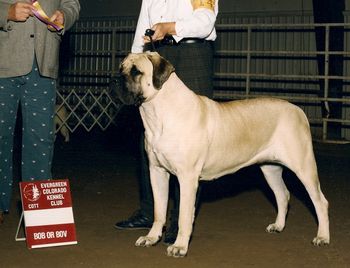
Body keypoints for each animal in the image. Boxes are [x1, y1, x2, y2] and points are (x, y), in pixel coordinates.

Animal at [110, 51, 330, 258]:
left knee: (320, 201)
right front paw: (151, 237)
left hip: (303, 167)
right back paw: (278, 226)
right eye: (121, 68)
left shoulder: (187, 178)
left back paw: (322, 237)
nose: (114, 80)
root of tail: (298, 110)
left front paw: (179, 247)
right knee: (283, 195)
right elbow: (159, 210)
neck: (158, 112)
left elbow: (184, 216)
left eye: (136, 72)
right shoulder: (157, 172)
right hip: (270, 169)